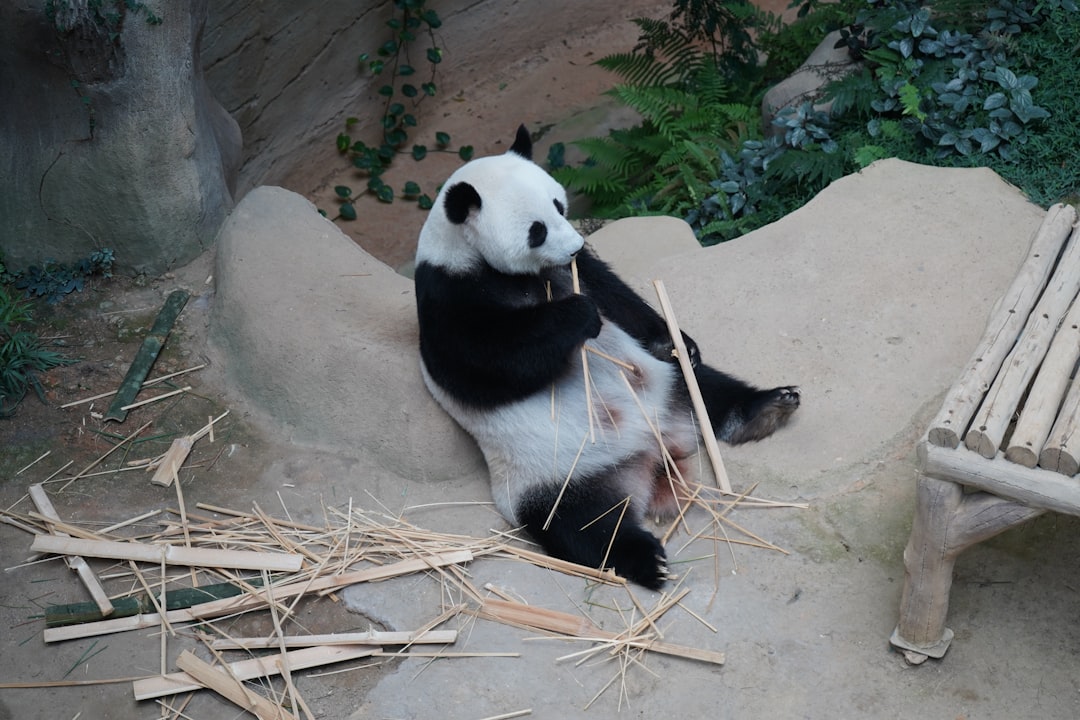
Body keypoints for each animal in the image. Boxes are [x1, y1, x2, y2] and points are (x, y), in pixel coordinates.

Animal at [414, 126, 799, 589]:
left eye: (559, 205)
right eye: (536, 230)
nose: (575, 243)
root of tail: (654, 453)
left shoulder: (577, 271)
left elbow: (616, 296)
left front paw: (677, 341)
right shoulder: (446, 294)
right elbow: (486, 362)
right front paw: (577, 317)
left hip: (667, 388)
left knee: (707, 389)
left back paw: (767, 407)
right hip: (547, 477)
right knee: (582, 526)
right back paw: (646, 560)